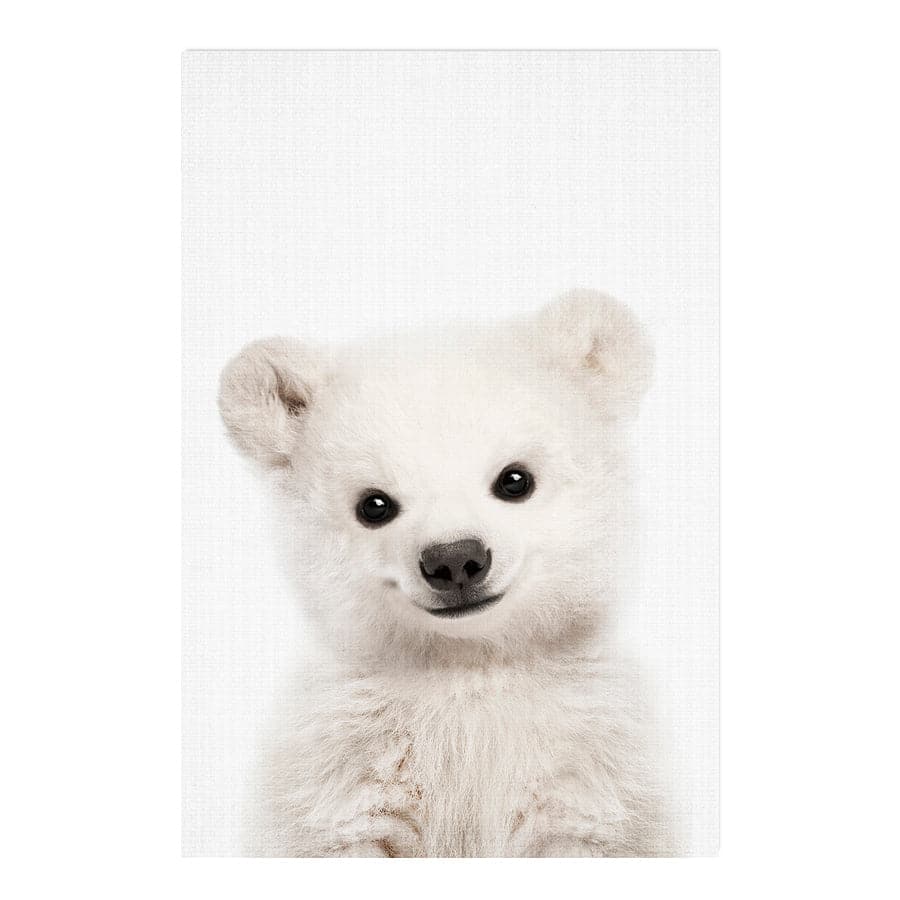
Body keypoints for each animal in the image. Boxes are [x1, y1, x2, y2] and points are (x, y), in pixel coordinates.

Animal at [218, 290, 669, 857]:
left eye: (516, 479)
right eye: (374, 505)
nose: (454, 559)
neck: (466, 667)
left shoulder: (589, 769)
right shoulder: (343, 771)